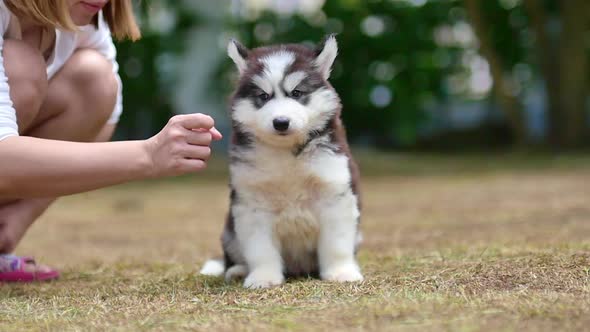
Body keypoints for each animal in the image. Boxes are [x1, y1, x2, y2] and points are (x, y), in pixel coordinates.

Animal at [201, 35, 364, 288]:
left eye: (296, 93)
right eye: (264, 96)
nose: (281, 122)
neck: (286, 153)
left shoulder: (335, 194)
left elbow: (337, 244)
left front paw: (341, 272)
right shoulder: (252, 204)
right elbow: (260, 249)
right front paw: (263, 277)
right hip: (229, 232)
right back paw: (237, 270)